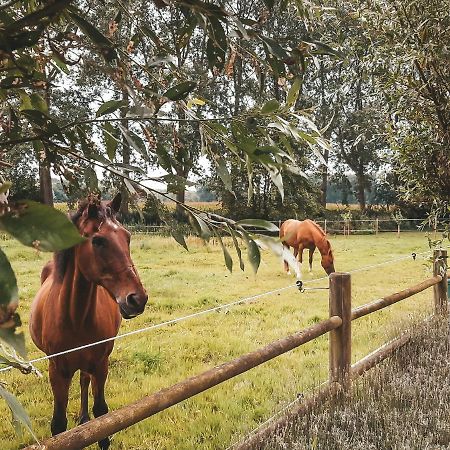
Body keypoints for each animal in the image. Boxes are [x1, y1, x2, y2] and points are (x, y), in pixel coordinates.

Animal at [29, 194, 148, 450]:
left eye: (127, 237)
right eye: (98, 241)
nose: (137, 299)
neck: (75, 318)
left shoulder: (101, 364)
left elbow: (102, 416)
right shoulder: (58, 371)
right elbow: (58, 426)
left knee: (84, 381)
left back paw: (84, 419)